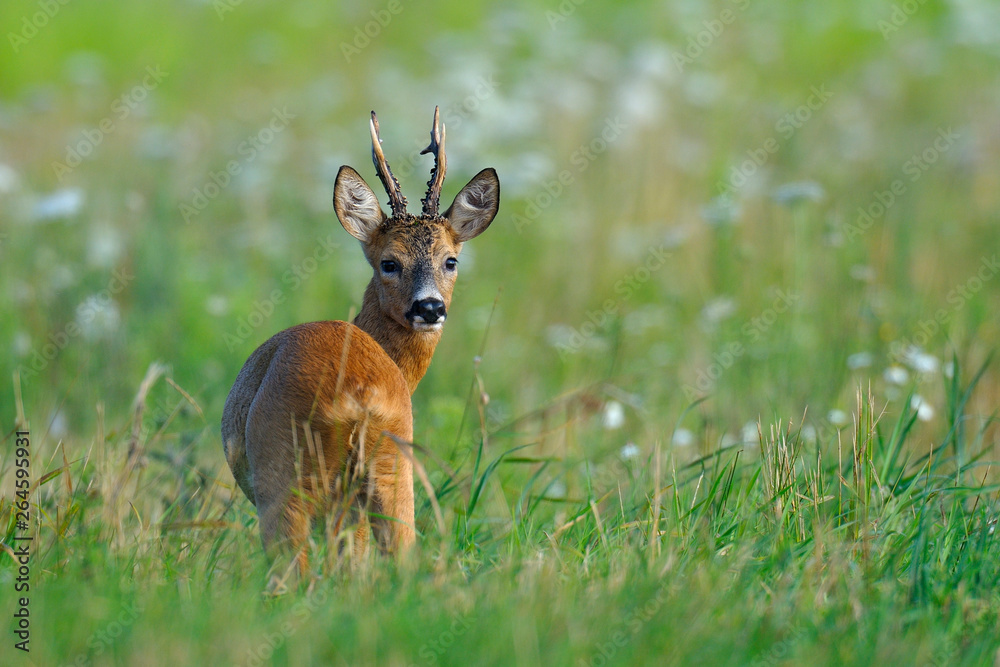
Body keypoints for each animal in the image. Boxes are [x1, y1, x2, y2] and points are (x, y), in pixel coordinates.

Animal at [221, 107, 500, 570]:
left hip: (287, 474)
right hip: (393, 463)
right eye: (390, 262)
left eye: (450, 260)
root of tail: (358, 394)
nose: (429, 308)